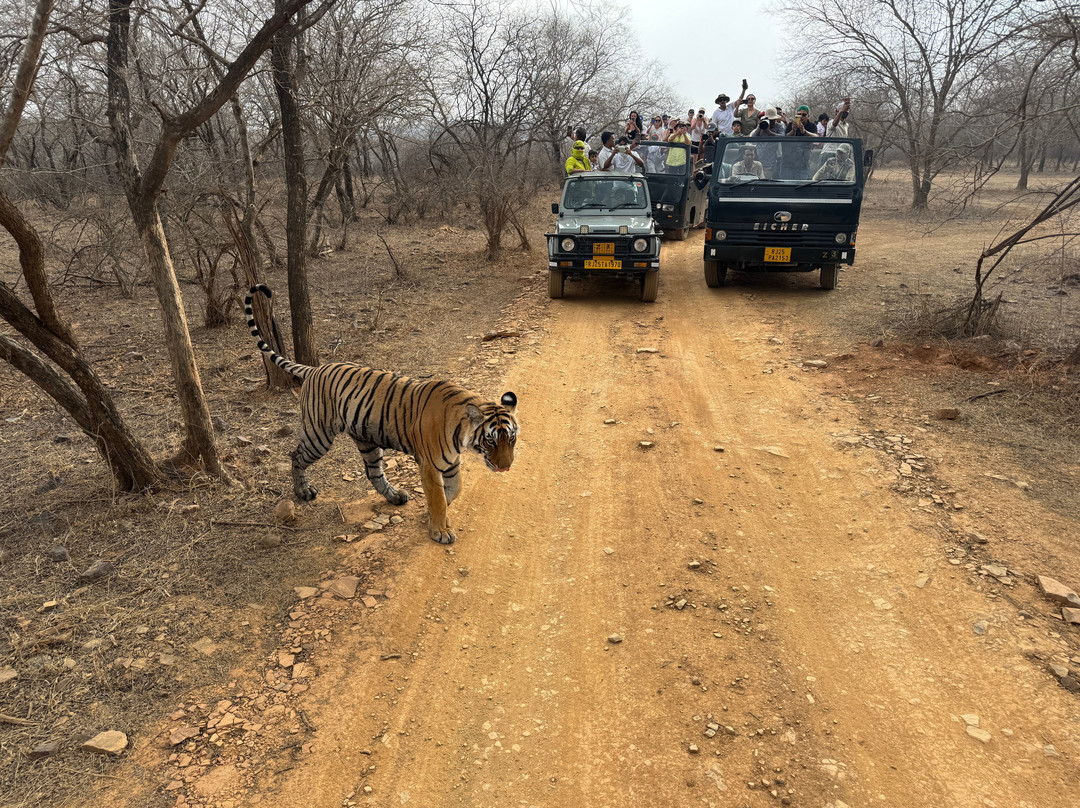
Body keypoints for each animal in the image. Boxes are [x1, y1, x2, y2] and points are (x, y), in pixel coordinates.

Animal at [244, 285, 519, 544]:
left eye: (512, 439)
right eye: (491, 440)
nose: (506, 467)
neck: (461, 434)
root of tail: (314, 369)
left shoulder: (451, 463)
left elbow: (454, 491)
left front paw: (435, 518)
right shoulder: (430, 465)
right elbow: (438, 497)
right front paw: (440, 530)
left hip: (367, 440)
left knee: (373, 473)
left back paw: (395, 496)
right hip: (318, 435)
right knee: (296, 456)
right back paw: (303, 491)